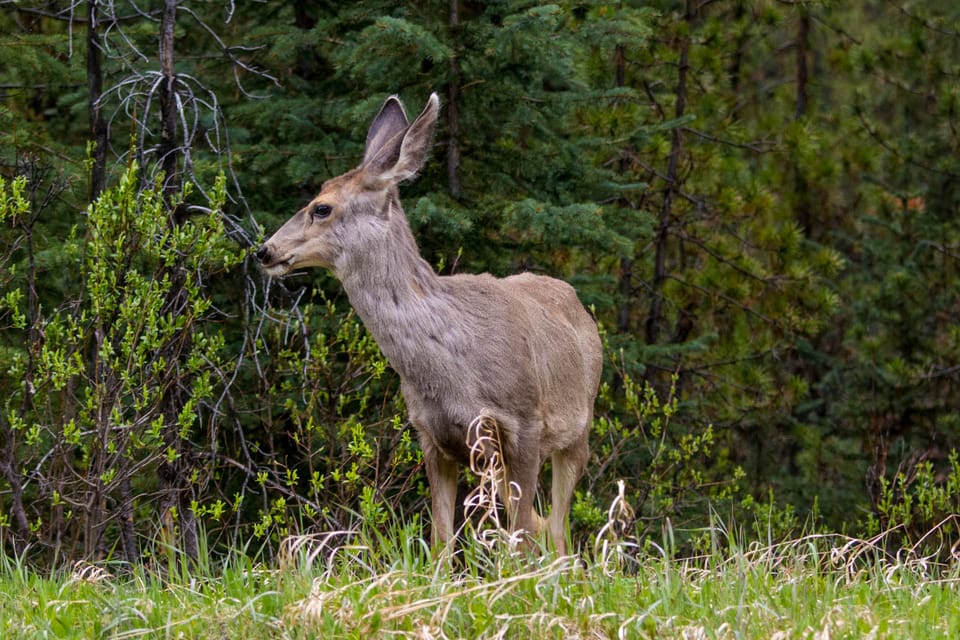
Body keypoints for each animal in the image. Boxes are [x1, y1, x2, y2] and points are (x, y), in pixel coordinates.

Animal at [255, 91, 600, 556]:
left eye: (321, 208)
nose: (265, 250)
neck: (450, 371)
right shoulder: (431, 435)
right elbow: (440, 542)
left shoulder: (525, 423)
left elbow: (522, 538)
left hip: (578, 428)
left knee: (559, 530)